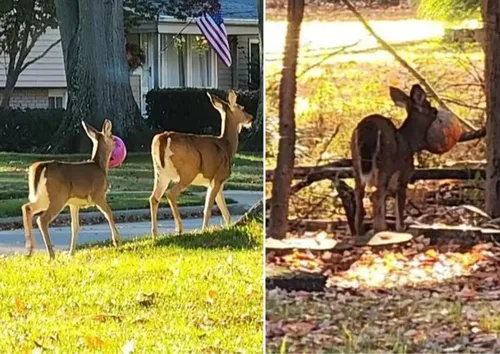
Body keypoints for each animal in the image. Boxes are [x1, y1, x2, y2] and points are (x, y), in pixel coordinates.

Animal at [21, 120, 121, 258]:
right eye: (111, 137)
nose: (116, 142)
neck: (100, 166)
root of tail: (40, 167)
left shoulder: (74, 203)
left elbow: (75, 227)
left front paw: (71, 253)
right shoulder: (98, 195)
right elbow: (109, 214)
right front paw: (117, 241)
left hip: (44, 197)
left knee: (27, 207)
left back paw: (29, 250)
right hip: (58, 196)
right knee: (42, 219)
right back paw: (51, 254)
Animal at [147, 90, 250, 238]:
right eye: (242, 108)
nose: (251, 118)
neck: (228, 145)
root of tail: (163, 138)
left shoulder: (215, 182)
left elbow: (225, 212)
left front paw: (229, 227)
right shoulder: (218, 177)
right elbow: (208, 208)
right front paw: (204, 230)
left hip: (160, 173)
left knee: (153, 198)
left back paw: (155, 234)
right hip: (188, 171)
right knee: (170, 193)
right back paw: (179, 229)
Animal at [350, 84, 440, 236]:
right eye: (429, 106)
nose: (437, 111)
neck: (410, 143)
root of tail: (367, 126)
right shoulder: (404, 175)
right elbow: (400, 203)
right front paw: (401, 228)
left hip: (356, 164)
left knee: (359, 193)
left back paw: (360, 231)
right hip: (384, 164)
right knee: (375, 195)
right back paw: (380, 229)